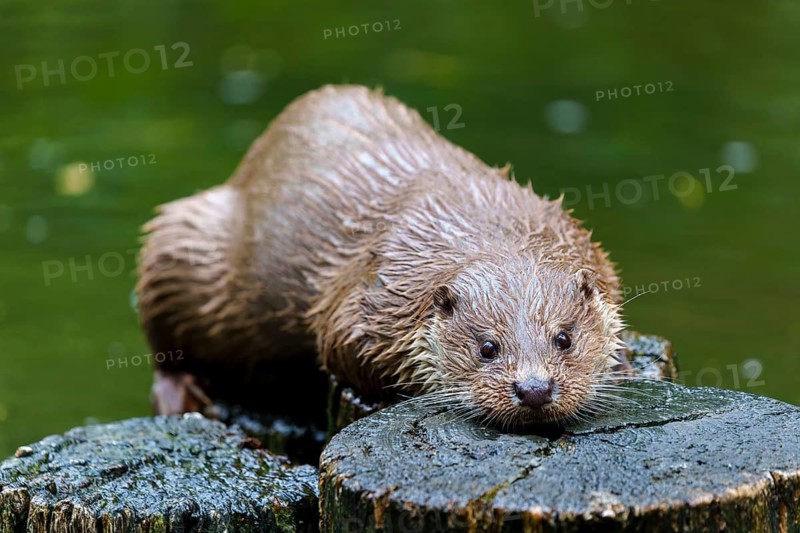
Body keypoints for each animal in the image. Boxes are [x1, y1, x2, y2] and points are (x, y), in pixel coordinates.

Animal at [137, 85, 625, 427]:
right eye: (487, 347)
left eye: (564, 339)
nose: (534, 388)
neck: (489, 231)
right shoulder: (369, 296)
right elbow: (338, 347)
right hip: (190, 244)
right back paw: (183, 396)